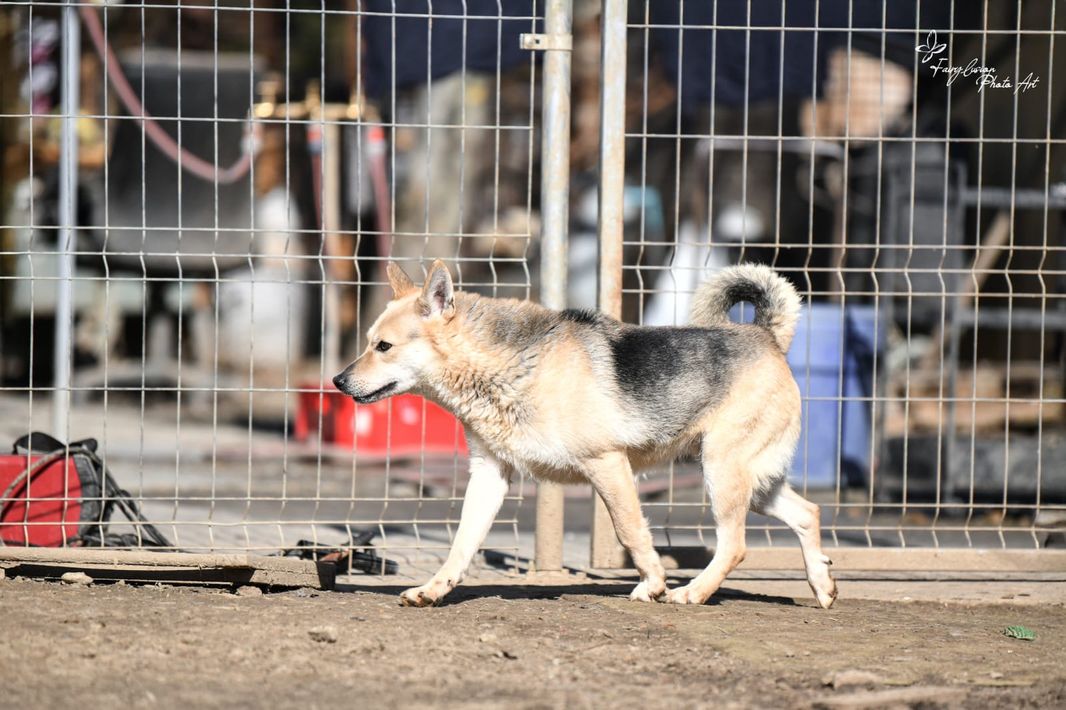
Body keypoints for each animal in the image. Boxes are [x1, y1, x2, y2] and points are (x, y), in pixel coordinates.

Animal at [333, 260, 837, 609]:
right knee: (807, 513)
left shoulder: (606, 463)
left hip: (722, 471)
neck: (507, 366)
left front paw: (654, 583)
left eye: (383, 347)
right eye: (369, 342)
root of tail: (767, 336)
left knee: (735, 545)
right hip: (751, 481)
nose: (338, 381)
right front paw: (433, 590)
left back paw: (691, 592)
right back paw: (823, 586)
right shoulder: (489, 475)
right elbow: (462, 543)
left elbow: (631, 531)